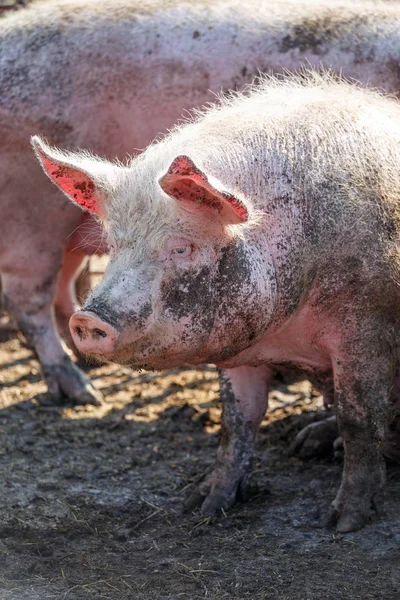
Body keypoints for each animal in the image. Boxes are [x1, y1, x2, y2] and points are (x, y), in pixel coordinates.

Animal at [3, 0, 400, 406]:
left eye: (181, 249)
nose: (92, 321)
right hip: (29, 212)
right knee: (27, 298)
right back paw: (82, 390)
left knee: (63, 283)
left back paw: (84, 361)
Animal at [32, 72, 400, 532]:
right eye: (114, 245)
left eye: (182, 247)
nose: (87, 319)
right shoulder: (240, 345)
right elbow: (237, 421)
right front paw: (202, 504)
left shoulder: (366, 327)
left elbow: (359, 419)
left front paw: (341, 522)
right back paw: (304, 444)